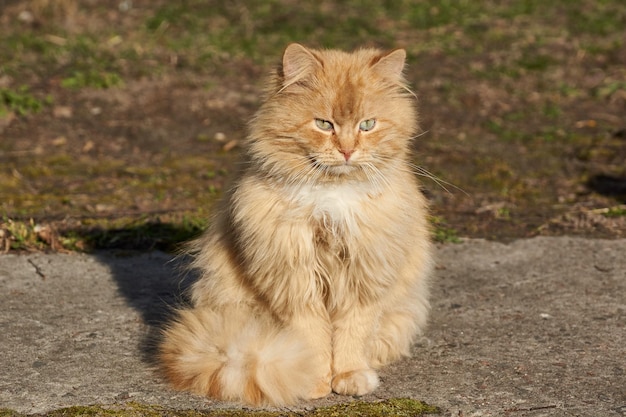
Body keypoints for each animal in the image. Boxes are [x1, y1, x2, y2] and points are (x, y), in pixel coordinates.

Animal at [158, 44, 432, 404]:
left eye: (368, 125)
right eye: (324, 124)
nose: (347, 151)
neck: (331, 197)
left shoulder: (364, 277)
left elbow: (351, 336)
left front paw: (349, 377)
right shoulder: (293, 279)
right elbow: (312, 337)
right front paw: (312, 380)